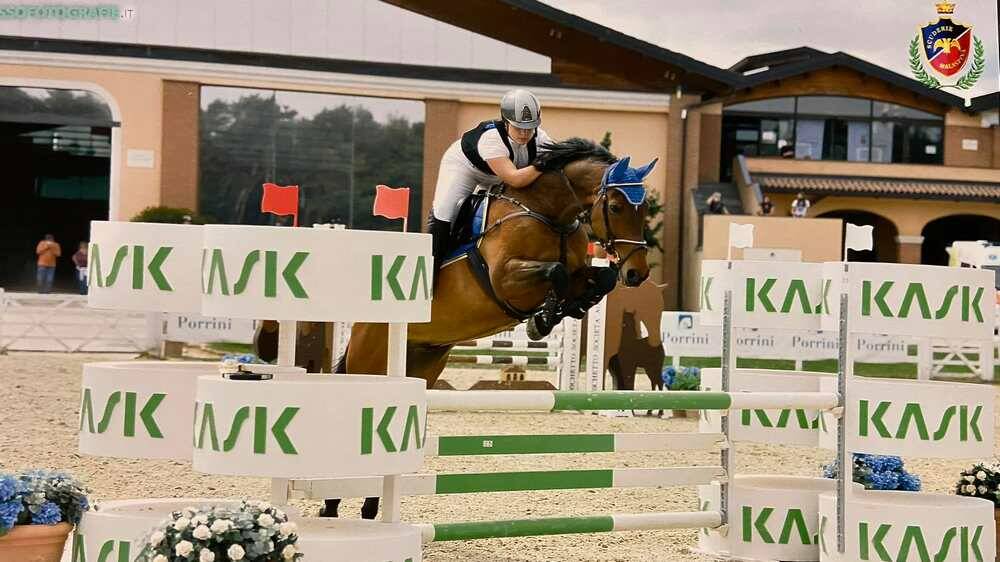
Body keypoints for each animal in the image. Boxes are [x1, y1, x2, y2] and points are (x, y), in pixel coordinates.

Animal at [320, 138, 660, 520]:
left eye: (644, 209)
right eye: (616, 207)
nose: (637, 273)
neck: (549, 214)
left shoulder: (577, 271)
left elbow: (597, 278)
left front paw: (569, 307)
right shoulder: (504, 279)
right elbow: (555, 271)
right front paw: (541, 321)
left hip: (421, 365)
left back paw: (369, 507)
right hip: (370, 362)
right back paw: (332, 506)